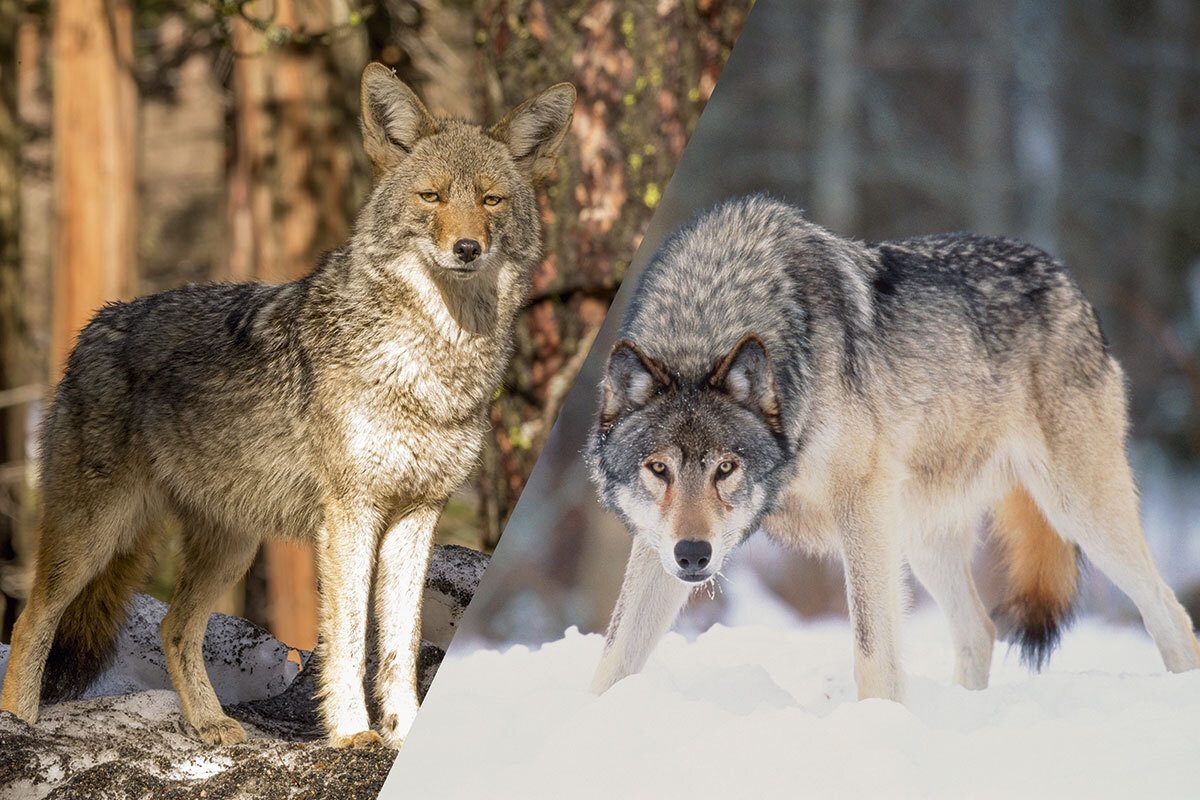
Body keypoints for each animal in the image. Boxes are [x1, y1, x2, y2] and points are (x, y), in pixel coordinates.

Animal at [0, 64, 574, 747]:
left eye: (491, 201)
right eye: (431, 197)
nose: (466, 248)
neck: (433, 361)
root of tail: (94, 325)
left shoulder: (417, 515)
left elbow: (400, 643)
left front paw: (403, 731)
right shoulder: (351, 513)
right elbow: (349, 637)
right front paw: (352, 733)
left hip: (231, 550)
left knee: (173, 628)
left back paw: (211, 725)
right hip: (93, 534)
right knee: (31, 621)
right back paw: (20, 724)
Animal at [588, 195, 1200, 701]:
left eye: (726, 468)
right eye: (658, 469)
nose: (694, 555)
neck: (710, 312)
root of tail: (1066, 277)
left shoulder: (861, 503)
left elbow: (872, 652)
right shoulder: (656, 542)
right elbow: (614, 657)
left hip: (1077, 513)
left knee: (1171, 616)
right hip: (921, 536)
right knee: (979, 631)